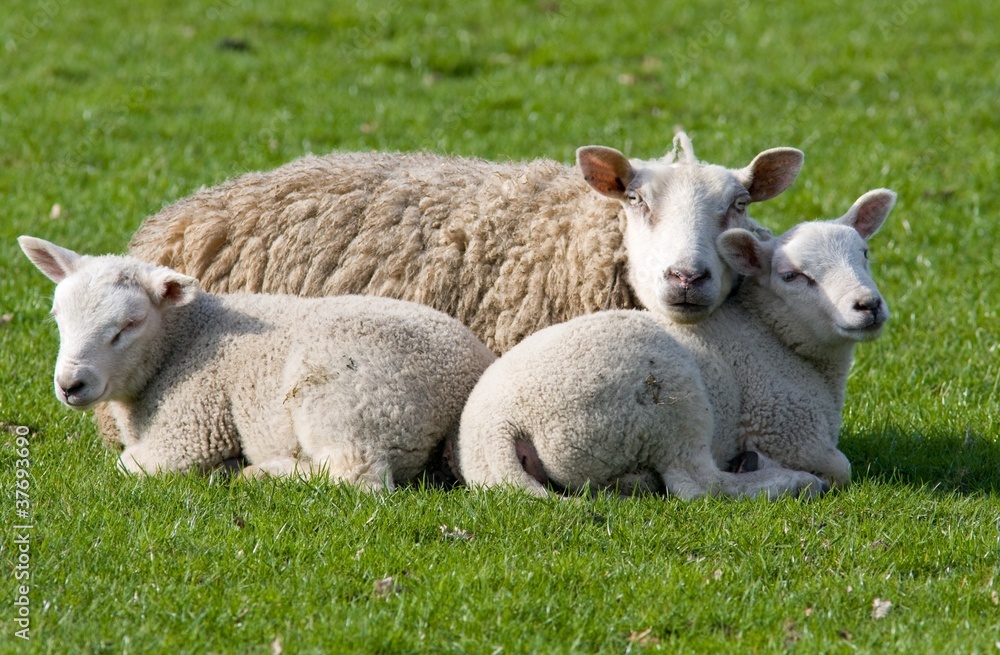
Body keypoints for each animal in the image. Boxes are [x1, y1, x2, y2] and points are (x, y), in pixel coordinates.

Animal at [18, 236, 497, 487]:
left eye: (129, 324)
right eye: (57, 316)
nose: (70, 385)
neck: (183, 340)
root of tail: (470, 376)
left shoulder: (190, 429)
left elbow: (130, 465)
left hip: (352, 400)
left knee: (354, 474)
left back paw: (261, 473)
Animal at [454, 189, 897, 499]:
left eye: (864, 253)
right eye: (792, 276)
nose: (869, 305)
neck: (779, 340)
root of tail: (502, 425)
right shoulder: (787, 429)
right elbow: (842, 467)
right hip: (670, 402)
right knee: (697, 485)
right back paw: (786, 481)